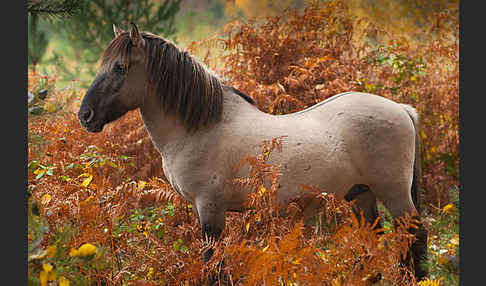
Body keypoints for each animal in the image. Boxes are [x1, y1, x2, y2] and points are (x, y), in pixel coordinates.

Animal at [79, 22, 430, 282]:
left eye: (120, 68)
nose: (85, 115)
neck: (199, 127)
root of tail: (402, 109)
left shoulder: (211, 210)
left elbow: (213, 266)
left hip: (394, 193)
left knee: (415, 235)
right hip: (361, 194)